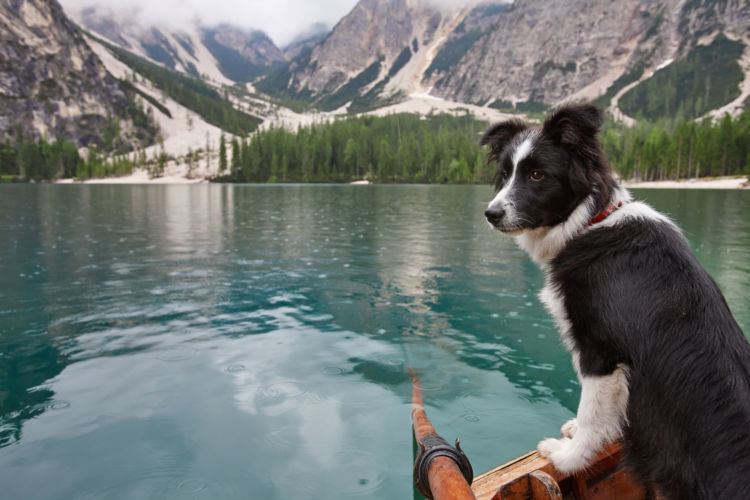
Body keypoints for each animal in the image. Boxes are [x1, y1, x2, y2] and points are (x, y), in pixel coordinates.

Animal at [482, 104, 750, 496]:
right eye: (504, 175)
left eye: (536, 174)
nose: (491, 214)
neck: (590, 221)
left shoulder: (602, 350)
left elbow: (592, 411)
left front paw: (568, 456)